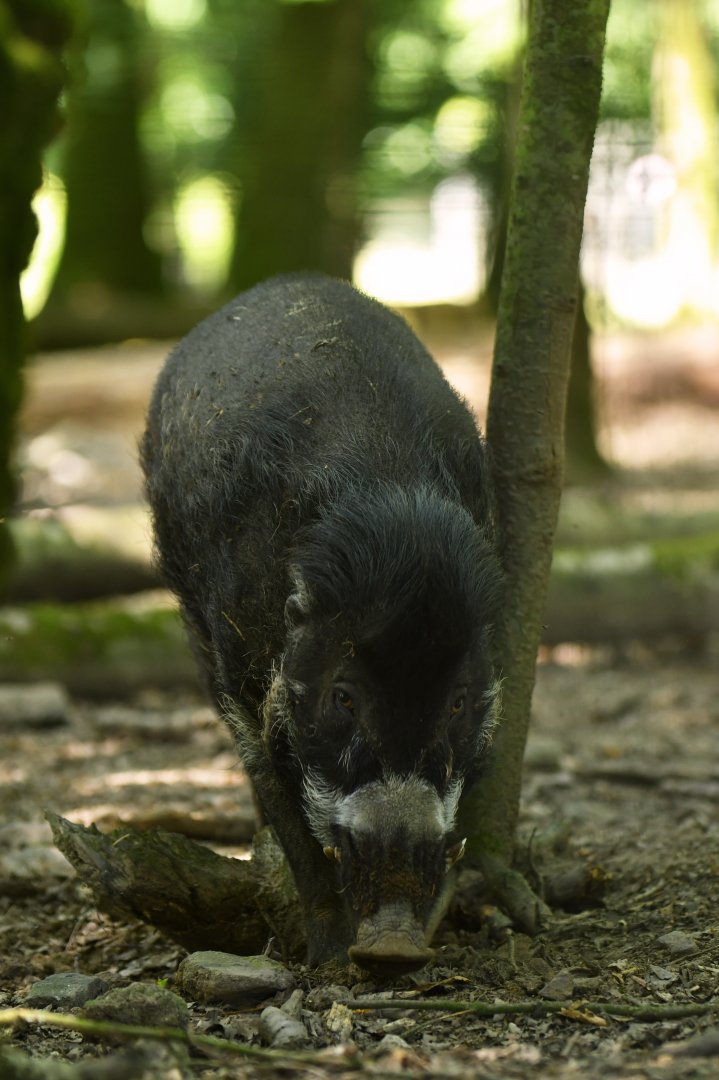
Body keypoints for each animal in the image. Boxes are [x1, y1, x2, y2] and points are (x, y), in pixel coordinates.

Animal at [141, 273, 503, 974]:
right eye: (344, 696)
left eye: (457, 702)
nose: (393, 944)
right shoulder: (244, 679)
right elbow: (282, 799)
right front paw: (332, 960)